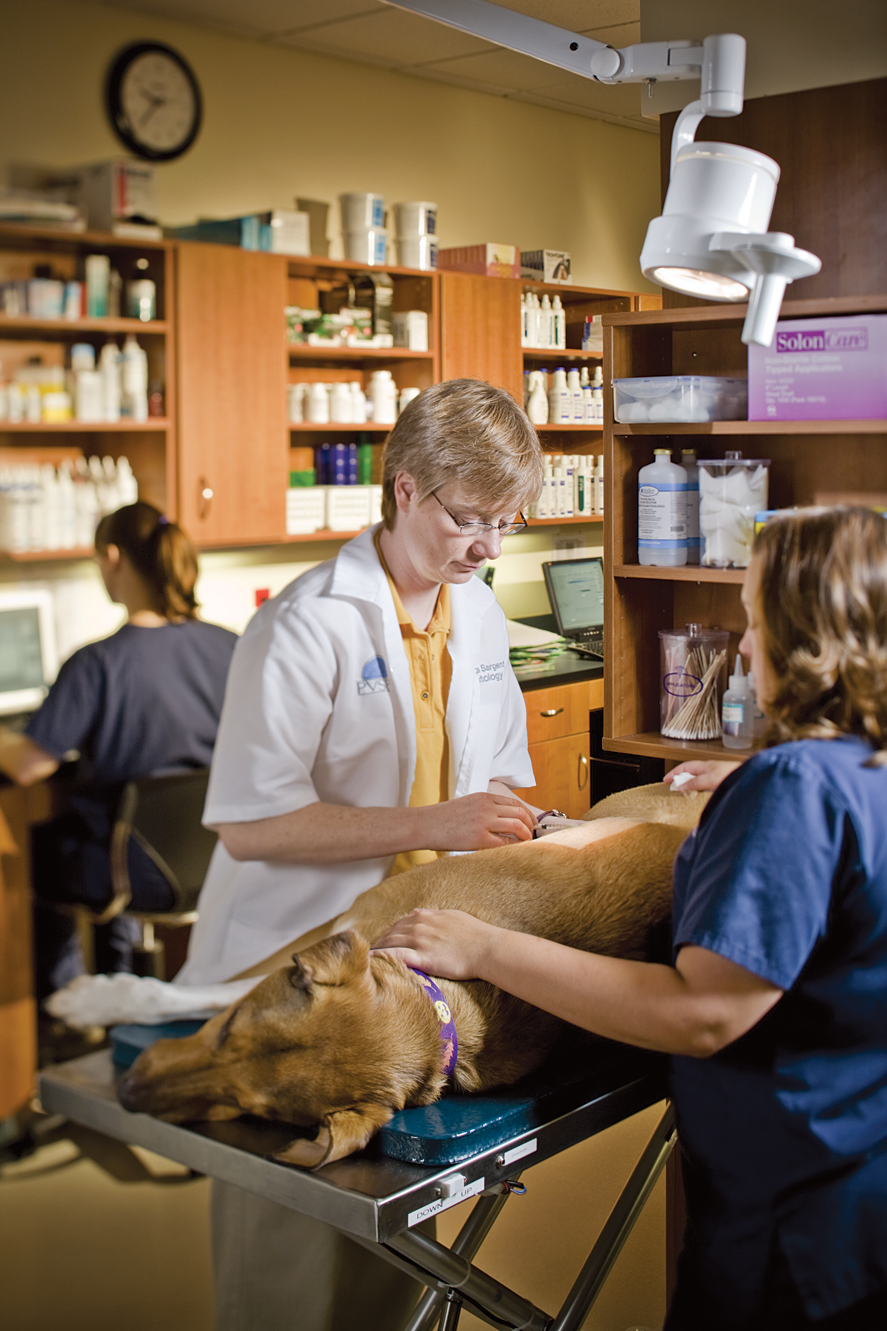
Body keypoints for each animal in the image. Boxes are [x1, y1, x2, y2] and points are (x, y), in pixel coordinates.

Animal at [115, 782, 703, 1171]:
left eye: (248, 1108)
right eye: (228, 1031)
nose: (129, 1091)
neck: (441, 1010)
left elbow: (189, 994)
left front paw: (104, 997)